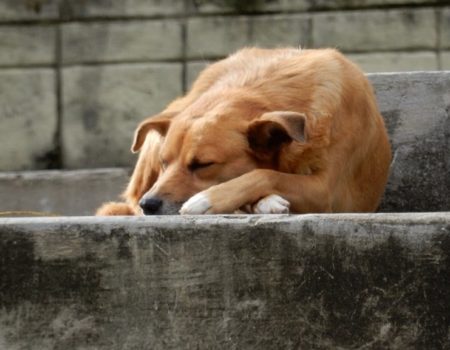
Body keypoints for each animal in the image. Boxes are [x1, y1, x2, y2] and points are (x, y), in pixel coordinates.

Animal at [97, 47, 390, 215]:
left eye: (202, 165)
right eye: (164, 163)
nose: (150, 205)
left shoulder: (325, 190)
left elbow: (263, 173)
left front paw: (206, 199)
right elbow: (266, 174)